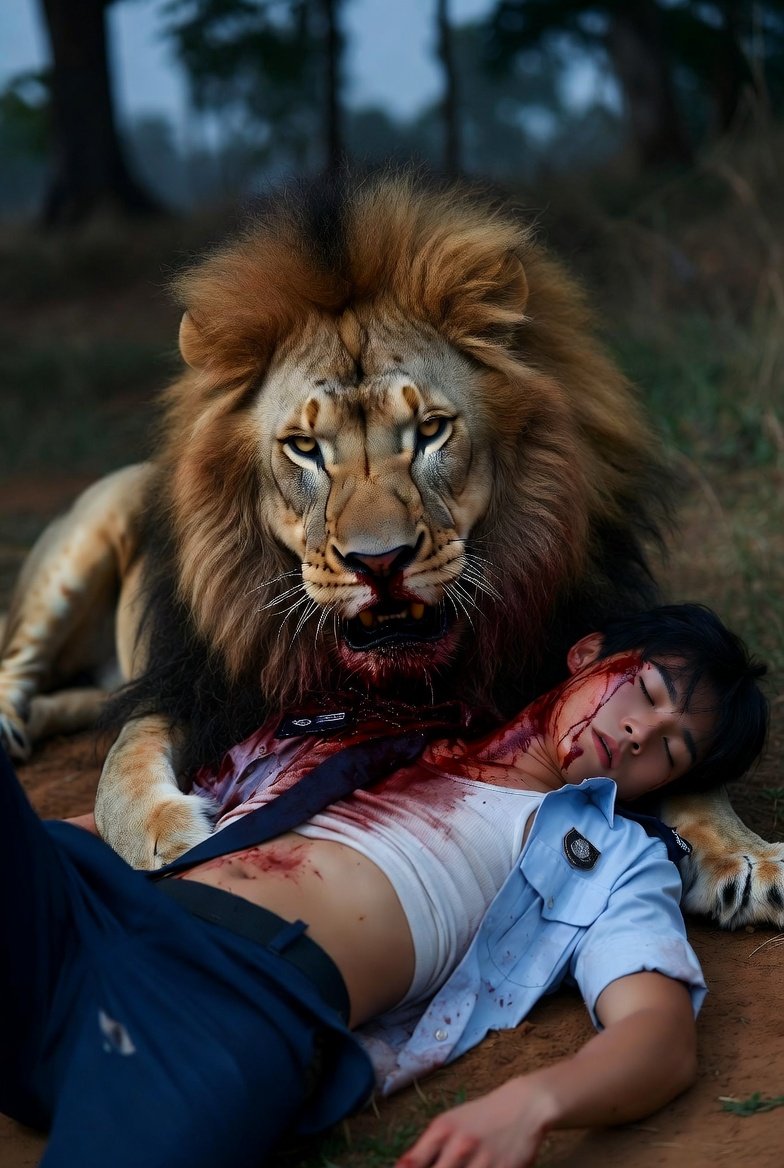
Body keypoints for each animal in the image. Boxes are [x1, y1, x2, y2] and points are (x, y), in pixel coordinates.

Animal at [0, 171, 780, 926]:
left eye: (430, 431)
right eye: (304, 448)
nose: (379, 563)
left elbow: (699, 772)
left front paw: (744, 854)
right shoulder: (187, 680)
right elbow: (122, 770)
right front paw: (168, 836)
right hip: (88, 531)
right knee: (22, 658)